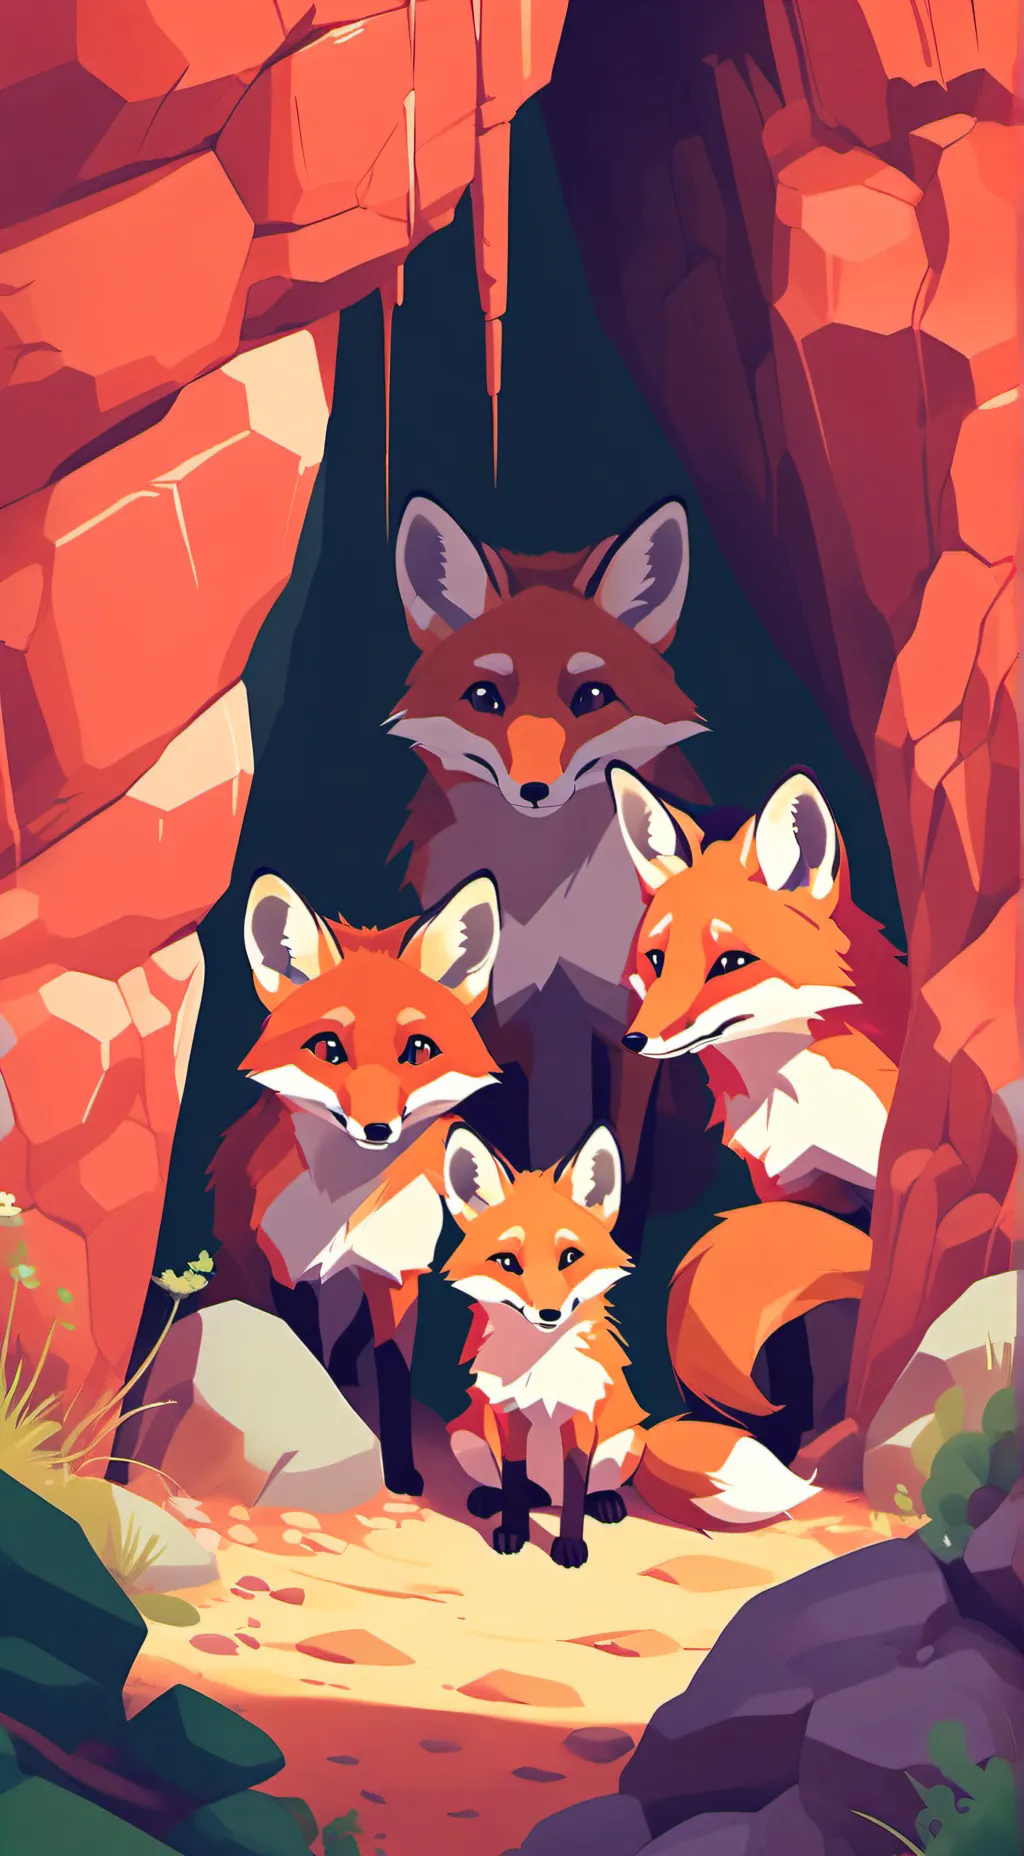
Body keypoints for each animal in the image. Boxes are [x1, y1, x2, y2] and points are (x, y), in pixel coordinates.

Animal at [208, 867, 502, 1496]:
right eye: (328, 1048)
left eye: (418, 1049)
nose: (377, 1128)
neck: (347, 1209)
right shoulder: (287, 1270)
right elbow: (308, 1359)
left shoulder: (397, 1279)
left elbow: (393, 1380)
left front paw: (402, 1473)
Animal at [386, 493, 709, 1176]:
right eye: (485, 696)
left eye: (591, 696)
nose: (534, 789)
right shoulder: (511, 1017)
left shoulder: (627, 1020)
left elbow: (617, 1148)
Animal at [440, 1122, 831, 1561]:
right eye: (508, 1263)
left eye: (570, 1257)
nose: (549, 1314)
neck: (540, 1370)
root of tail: (548, 1498)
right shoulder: (509, 1419)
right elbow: (513, 1481)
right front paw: (512, 1532)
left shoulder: (583, 1420)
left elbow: (575, 1488)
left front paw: (569, 1547)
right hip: (467, 1438)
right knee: (524, 1491)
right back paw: (492, 1499)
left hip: (622, 1445)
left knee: (583, 1492)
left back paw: (605, 1504)